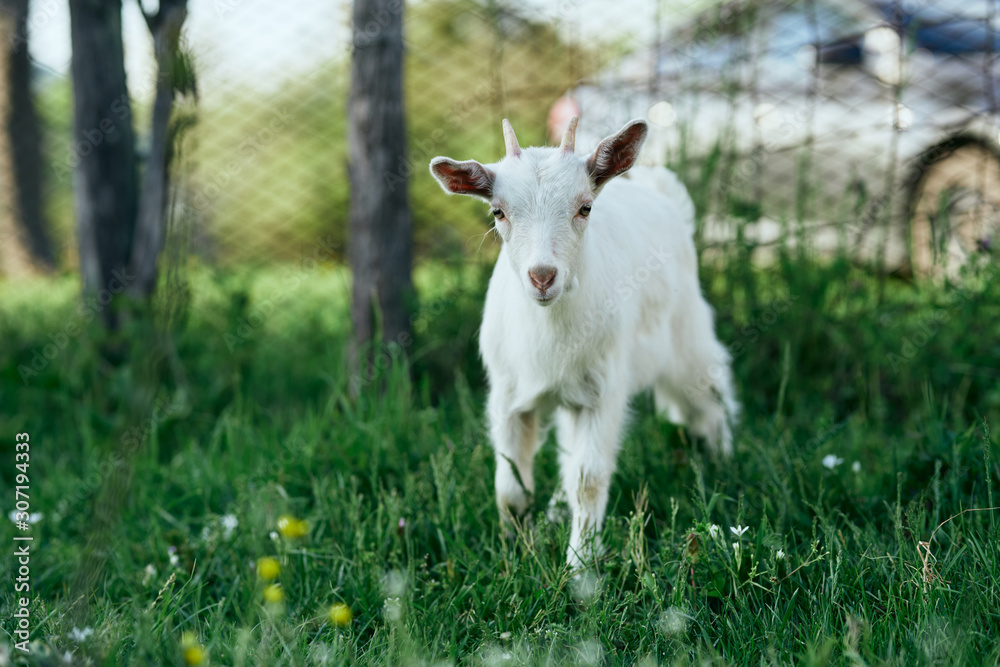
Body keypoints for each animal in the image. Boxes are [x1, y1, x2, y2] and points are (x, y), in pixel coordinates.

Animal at [428, 117, 736, 568]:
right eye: (498, 212)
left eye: (585, 207)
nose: (542, 276)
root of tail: (662, 193)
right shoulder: (508, 393)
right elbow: (511, 487)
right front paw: (513, 551)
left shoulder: (601, 392)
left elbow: (588, 480)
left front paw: (580, 566)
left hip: (686, 335)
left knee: (710, 387)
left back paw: (724, 461)